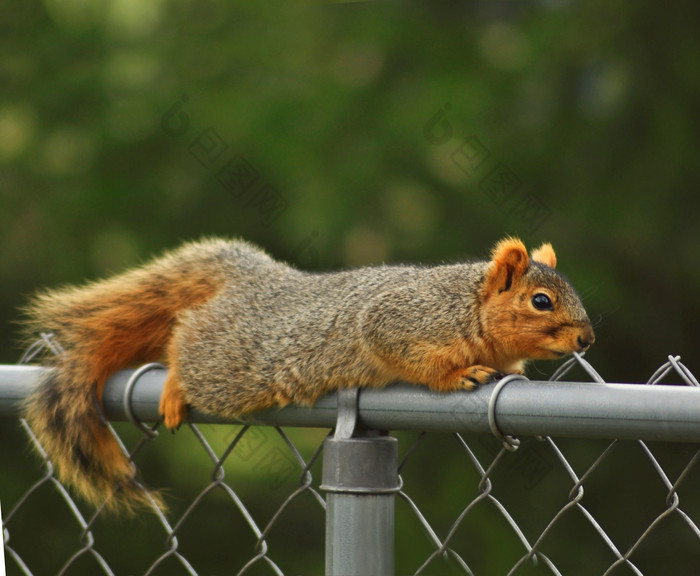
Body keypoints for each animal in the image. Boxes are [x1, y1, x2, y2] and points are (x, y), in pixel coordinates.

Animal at [19, 236, 592, 516]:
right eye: (541, 301)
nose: (587, 339)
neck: (468, 304)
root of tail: (260, 283)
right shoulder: (400, 321)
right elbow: (410, 354)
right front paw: (459, 374)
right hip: (232, 363)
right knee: (187, 339)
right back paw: (177, 384)